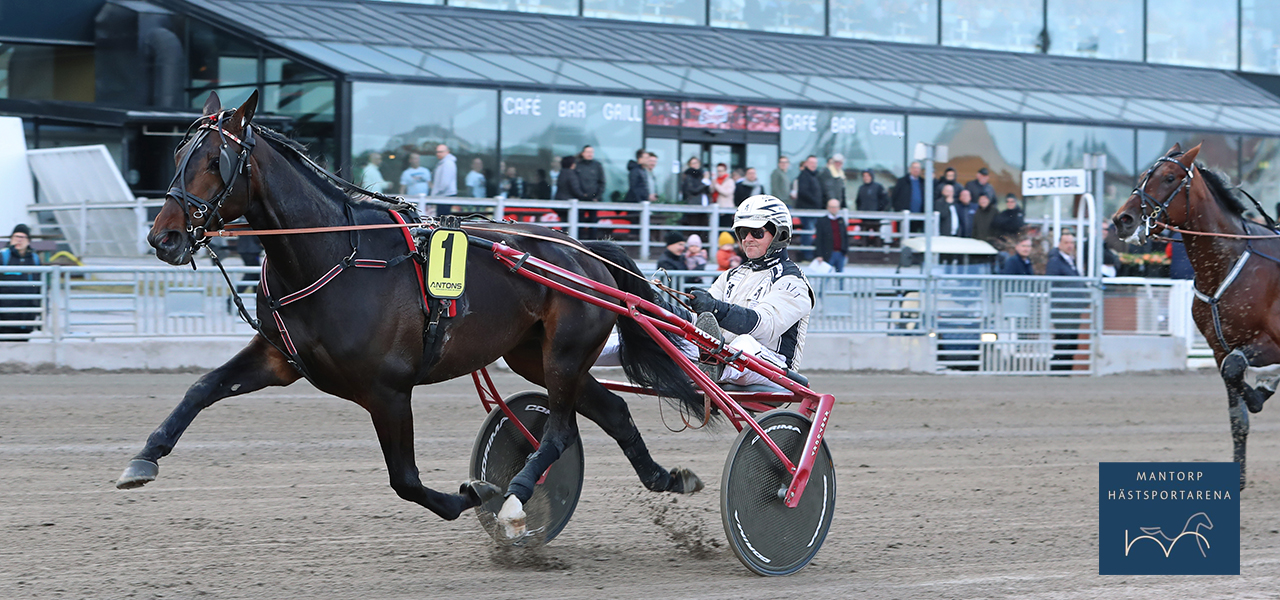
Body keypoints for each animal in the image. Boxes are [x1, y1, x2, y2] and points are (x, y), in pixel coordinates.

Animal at [115, 90, 706, 532]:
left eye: (215, 162)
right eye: (177, 157)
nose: (164, 237)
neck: (333, 256)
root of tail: (585, 250)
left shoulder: (389, 391)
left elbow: (404, 479)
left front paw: (477, 493)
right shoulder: (279, 358)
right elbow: (201, 388)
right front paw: (143, 458)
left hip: (564, 353)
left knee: (559, 434)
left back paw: (516, 495)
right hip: (535, 356)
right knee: (614, 411)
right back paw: (667, 477)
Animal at [1116, 142, 1274, 488]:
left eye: (1169, 177)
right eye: (1143, 175)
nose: (1123, 219)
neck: (1228, 263)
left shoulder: (1270, 343)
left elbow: (1236, 370)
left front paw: (1257, 395)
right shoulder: (1220, 348)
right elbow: (1235, 405)